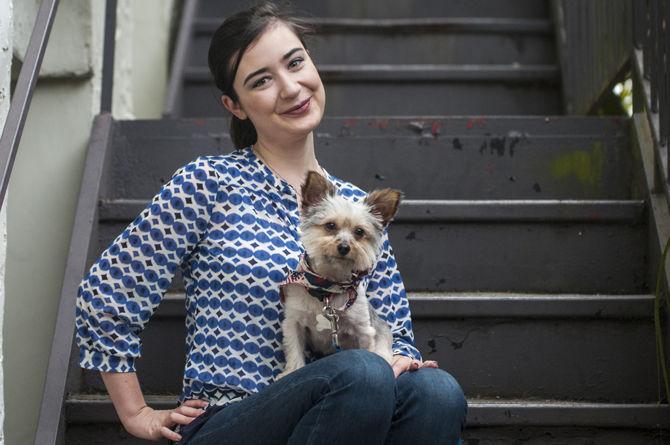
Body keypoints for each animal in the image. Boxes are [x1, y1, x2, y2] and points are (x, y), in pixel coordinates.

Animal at [278, 170, 404, 378]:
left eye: (359, 232)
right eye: (330, 226)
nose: (344, 247)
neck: (327, 287)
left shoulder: (363, 330)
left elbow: (366, 350)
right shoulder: (293, 322)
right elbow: (294, 350)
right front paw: (291, 372)